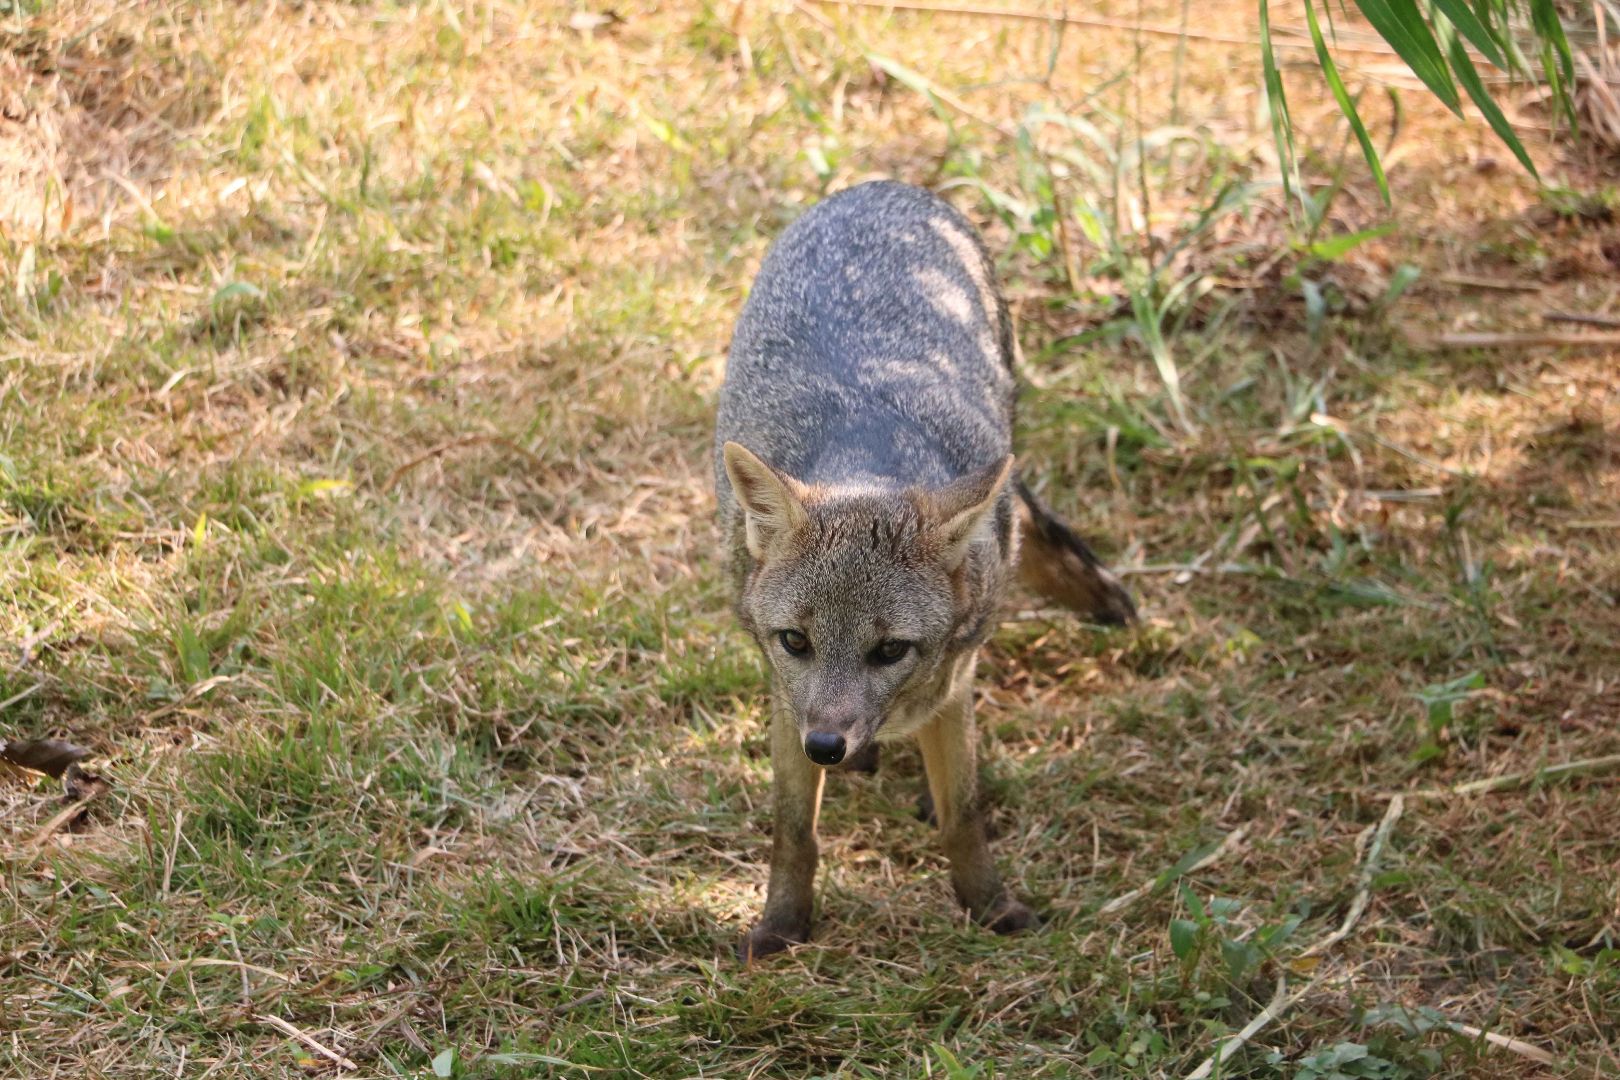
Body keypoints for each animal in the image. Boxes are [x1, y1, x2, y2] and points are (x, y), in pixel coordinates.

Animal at [714, 180, 1135, 961]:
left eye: (891, 650)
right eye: (796, 641)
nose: (827, 746)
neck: (864, 457)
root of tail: (884, 185)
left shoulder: (953, 686)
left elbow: (961, 814)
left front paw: (991, 908)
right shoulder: (786, 699)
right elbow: (793, 831)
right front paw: (782, 926)